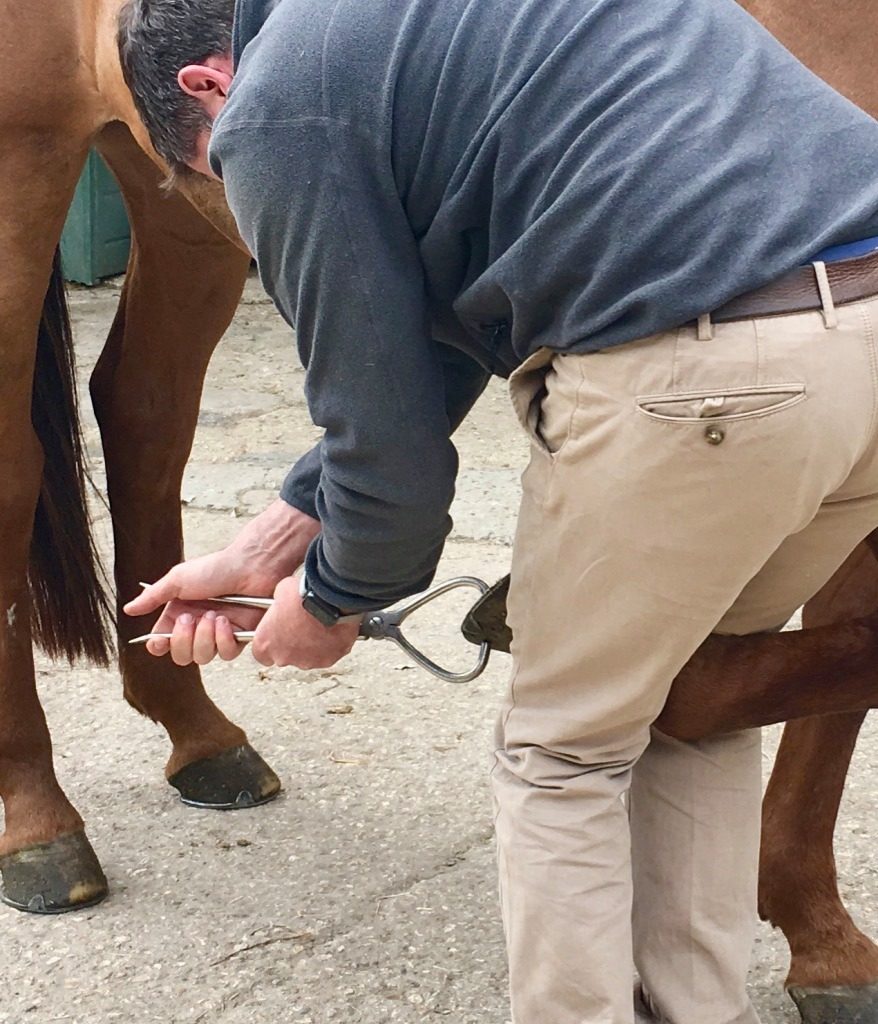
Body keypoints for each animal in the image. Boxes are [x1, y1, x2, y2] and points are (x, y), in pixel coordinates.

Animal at [0, 0, 872, 1019]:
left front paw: (822, 938)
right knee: (17, 473)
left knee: (146, 408)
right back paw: (36, 821)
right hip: (36, 163)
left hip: (177, 198)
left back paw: (200, 733)